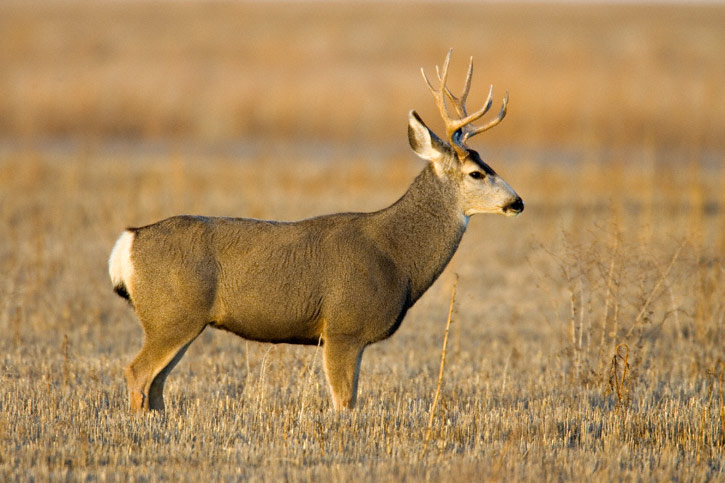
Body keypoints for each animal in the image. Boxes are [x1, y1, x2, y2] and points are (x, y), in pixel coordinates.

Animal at [108, 50, 523, 412]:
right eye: (477, 173)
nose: (517, 202)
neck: (396, 255)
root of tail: (129, 241)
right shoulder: (343, 326)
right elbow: (344, 402)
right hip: (172, 315)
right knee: (137, 373)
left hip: (177, 319)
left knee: (157, 383)